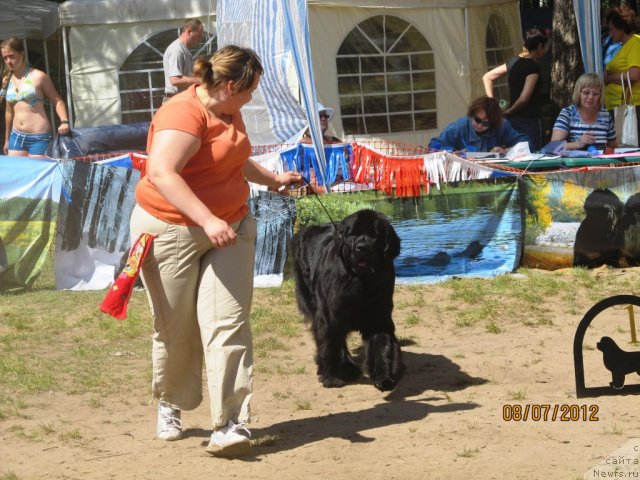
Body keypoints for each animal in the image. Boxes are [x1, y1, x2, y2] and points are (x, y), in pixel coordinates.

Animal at [292, 209, 402, 390]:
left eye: (375, 234)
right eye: (353, 234)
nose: (361, 248)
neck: (361, 281)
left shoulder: (379, 316)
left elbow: (382, 347)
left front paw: (384, 377)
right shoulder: (328, 316)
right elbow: (329, 346)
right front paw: (331, 377)